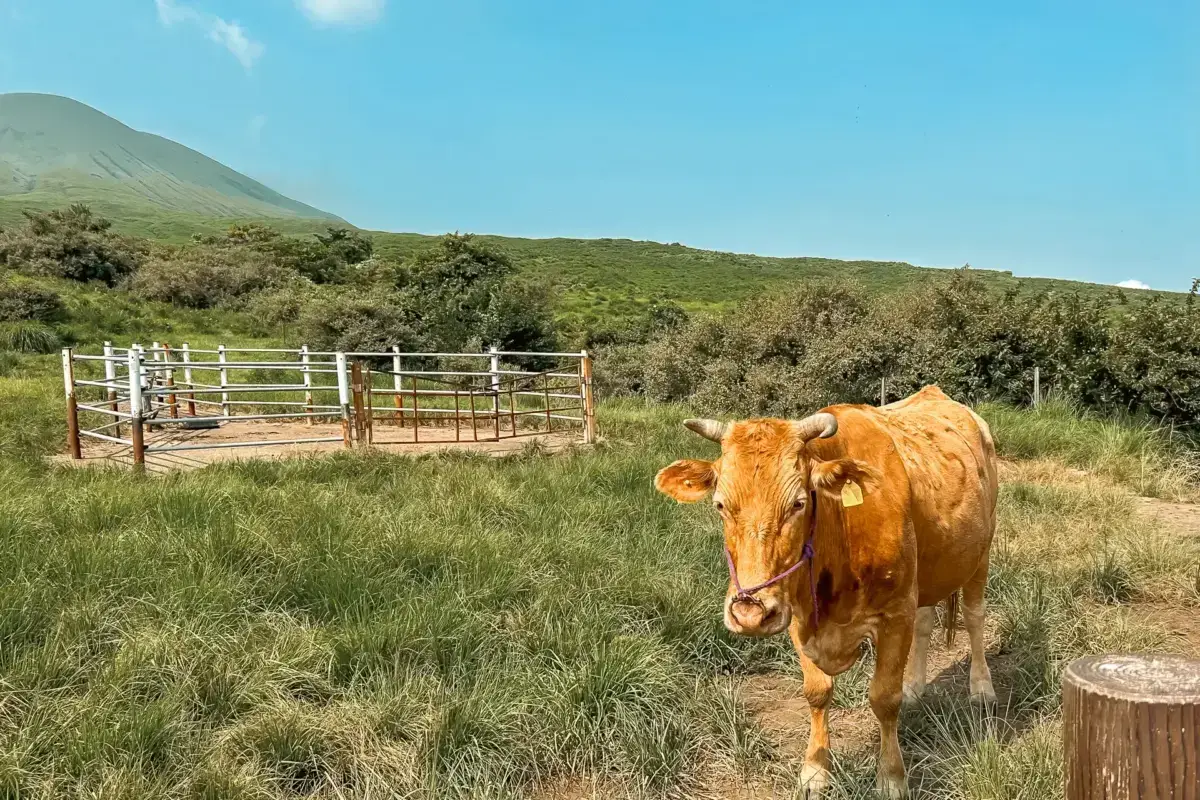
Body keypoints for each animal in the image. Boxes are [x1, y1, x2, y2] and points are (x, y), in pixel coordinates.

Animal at [654, 386, 998, 798]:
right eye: (720, 504)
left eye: (798, 503)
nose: (750, 612)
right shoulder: (795, 615)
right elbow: (817, 691)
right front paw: (815, 770)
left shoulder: (896, 611)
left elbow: (884, 697)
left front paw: (892, 777)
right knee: (927, 622)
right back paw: (916, 686)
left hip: (981, 552)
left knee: (975, 616)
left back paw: (981, 689)